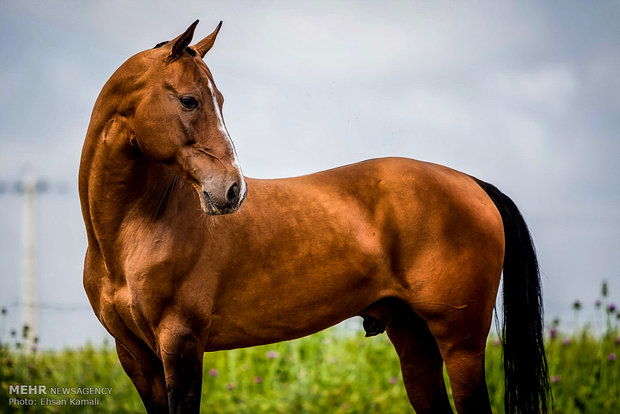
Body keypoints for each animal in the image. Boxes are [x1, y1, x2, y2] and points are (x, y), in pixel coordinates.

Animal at [78, 20, 552, 414]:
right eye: (190, 100)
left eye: (219, 100)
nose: (232, 190)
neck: (136, 233)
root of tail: (472, 183)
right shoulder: (137, 358)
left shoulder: (181, 346)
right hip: (414, 338)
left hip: (462, 344)